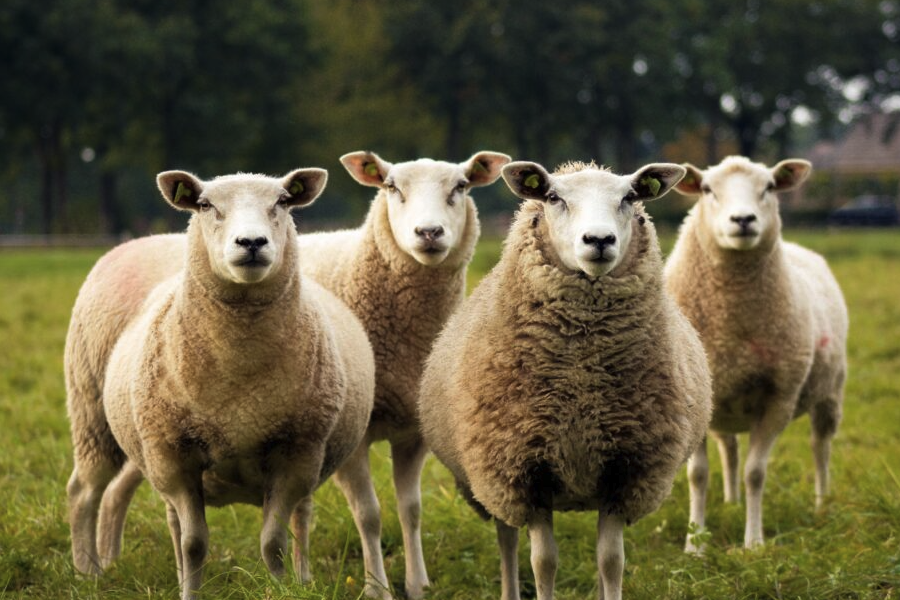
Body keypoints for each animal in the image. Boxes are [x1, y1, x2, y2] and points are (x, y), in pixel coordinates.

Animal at [66, 170, 376, 600]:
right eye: (204, 205)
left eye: (283, 202)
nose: (251, 242)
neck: (239, 378)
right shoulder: (174, 456)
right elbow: (194, 544)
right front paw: (189, 591)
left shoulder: (297, 454)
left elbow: (273, 543)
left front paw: (280, 588)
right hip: (93, 412)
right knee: (85, 490)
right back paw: (88, 573)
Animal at [298, 149, 512, 596]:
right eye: (392, 187)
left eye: (461, 186)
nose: (428, 232)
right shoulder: (355, 435)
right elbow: (369, 514)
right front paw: (377, 588)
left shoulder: (414, 431)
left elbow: (411, 509)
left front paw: (417, 584)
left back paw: (299, 576)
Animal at [418, 159, 712, 600]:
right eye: (554, 197)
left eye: (630, 198)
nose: (599, 240)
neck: (581, 378)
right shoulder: (524, 471)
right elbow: (544, 563)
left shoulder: (624, 470)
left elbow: (611, 560)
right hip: (491, 477)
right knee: (507, 540)